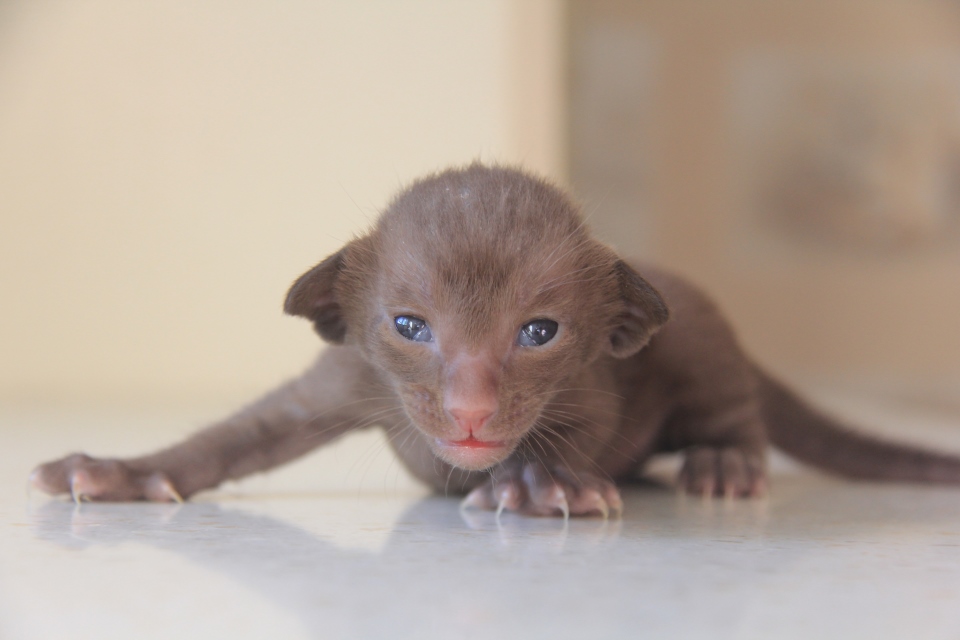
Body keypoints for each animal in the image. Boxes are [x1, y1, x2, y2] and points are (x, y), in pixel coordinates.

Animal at [28, 164, 960, 516]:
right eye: (409, 326)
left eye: (539, 332)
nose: (473, 410)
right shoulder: (350, 374)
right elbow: (236, 436)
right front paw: (116, 472)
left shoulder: (593, 384)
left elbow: (572, 434)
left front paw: (539, 482)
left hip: (702, 340)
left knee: (738, 419)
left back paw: (722, 464)